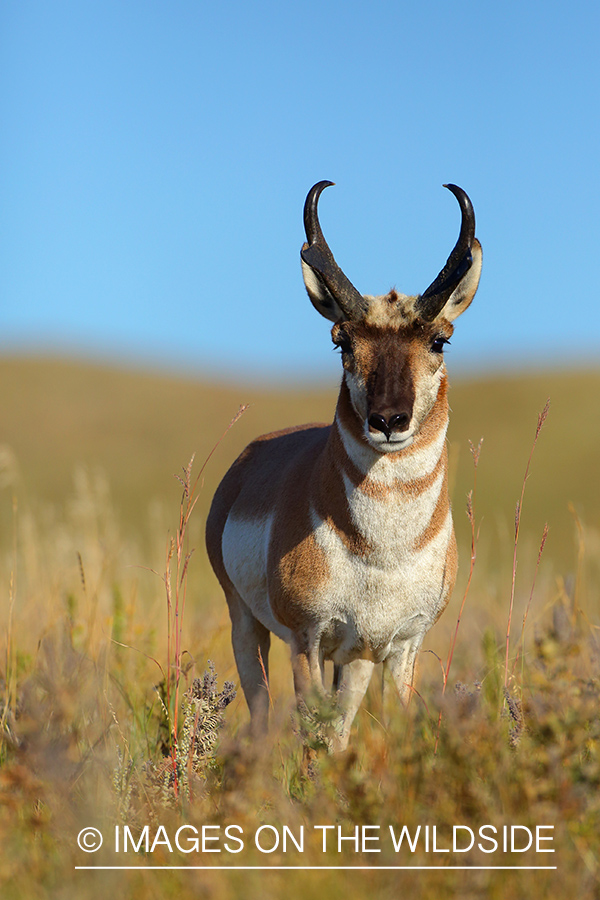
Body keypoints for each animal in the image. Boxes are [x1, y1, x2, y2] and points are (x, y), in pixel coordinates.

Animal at [207, 179, 482, 748]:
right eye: (342, 341)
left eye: (439, 339)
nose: (389, 420)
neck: (382, 552)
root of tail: (248, 459)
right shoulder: (307, 639)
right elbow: (311, 736)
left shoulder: (400, 646)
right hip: (248, 626)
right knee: (262, 713)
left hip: (355, 657)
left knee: (340, 724)